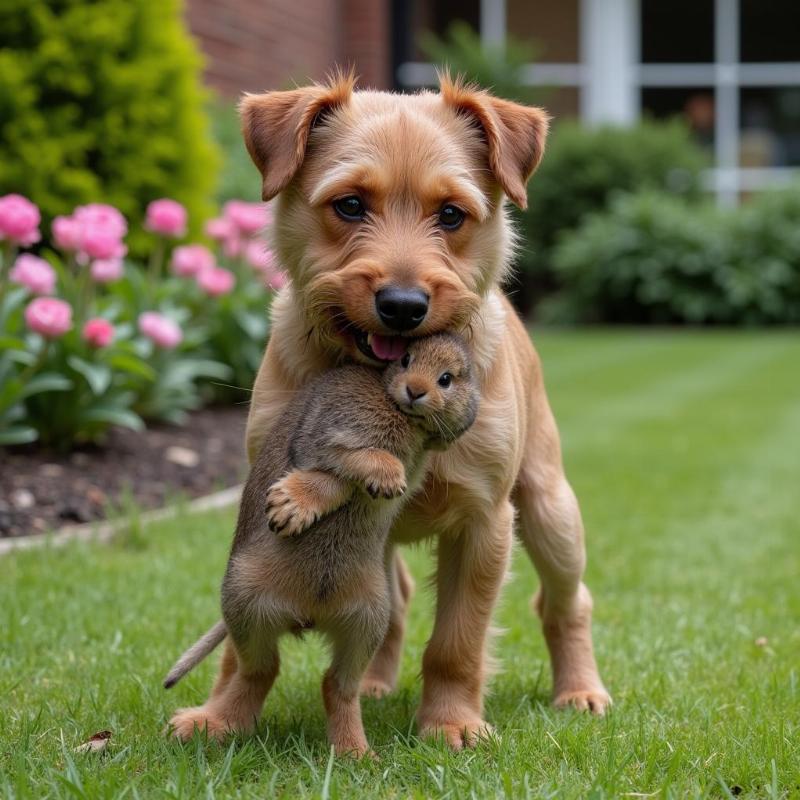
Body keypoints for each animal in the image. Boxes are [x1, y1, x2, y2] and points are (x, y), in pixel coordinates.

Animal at [184, 73, 608, 752]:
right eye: (351, 205)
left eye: (451, 214)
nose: (404, 305)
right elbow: (242, 646)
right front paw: (222, 715)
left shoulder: (484, 521)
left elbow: (457, 642)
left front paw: (452, 722)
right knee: (395, 601)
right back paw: (374, 682)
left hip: (551, 512)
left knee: (566, 602)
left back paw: (580, 689)